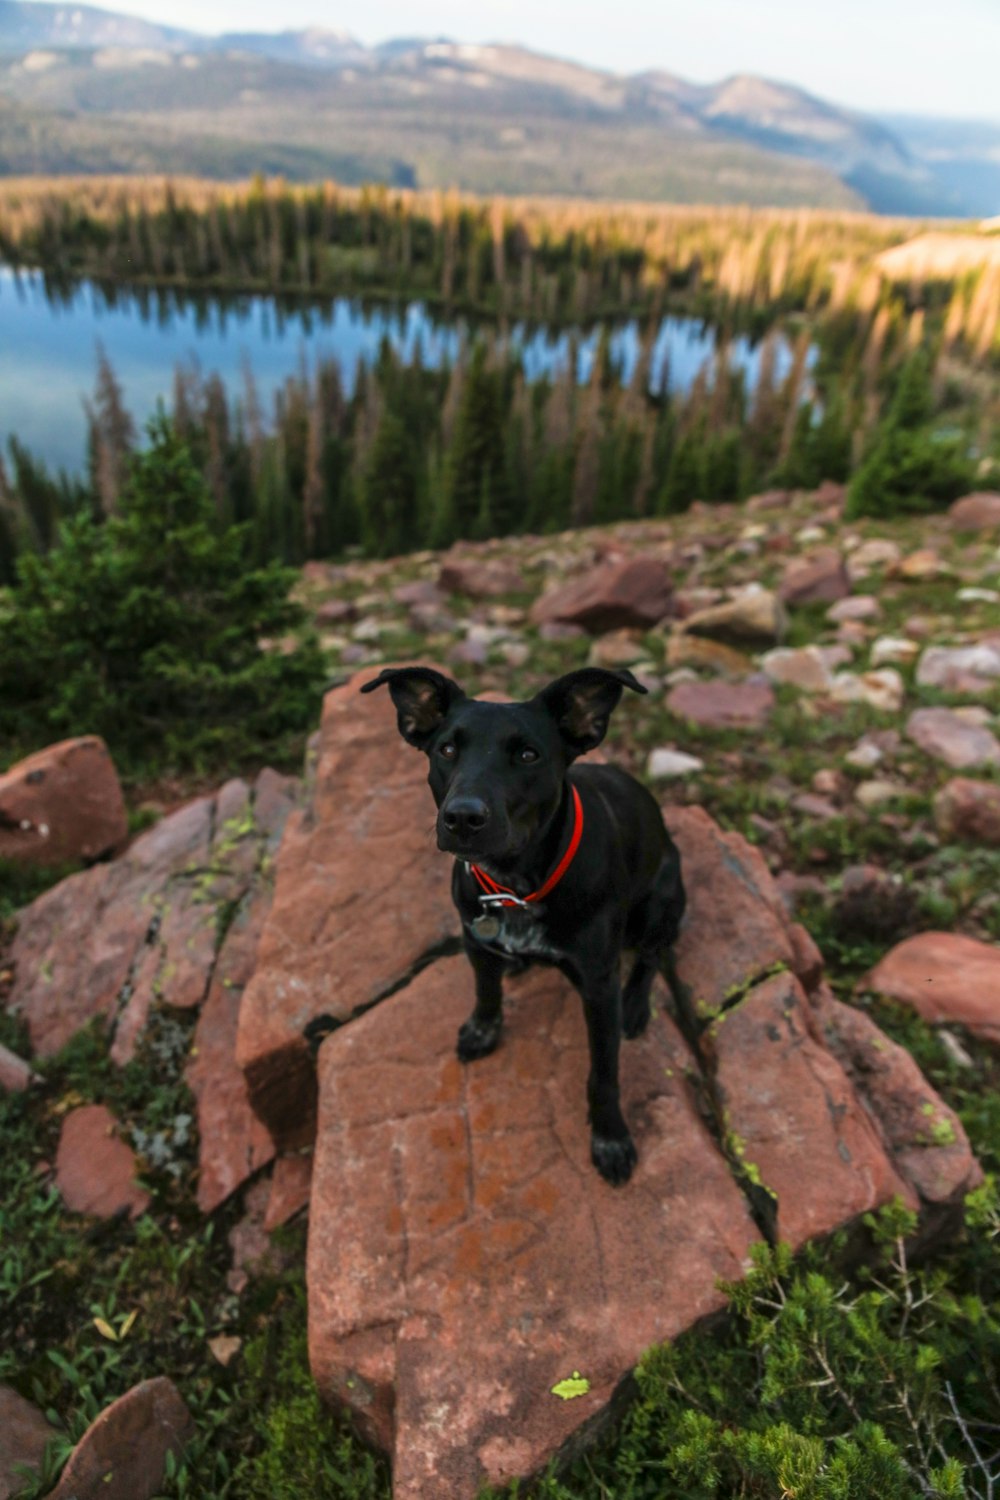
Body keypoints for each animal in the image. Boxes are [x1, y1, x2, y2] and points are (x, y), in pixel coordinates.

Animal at [361, 669, 689, 1182]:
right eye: (446, 749)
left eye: (528, 755)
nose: (462, 817)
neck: (517, 885)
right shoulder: (473, 938)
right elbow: (485, 992)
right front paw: (483, 1029)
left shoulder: (598, 986)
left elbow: (604, 1072)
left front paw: (610, 1137)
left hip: (662, 898)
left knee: (654, 953)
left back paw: (636, 1005)